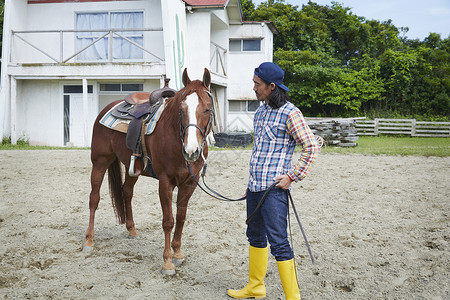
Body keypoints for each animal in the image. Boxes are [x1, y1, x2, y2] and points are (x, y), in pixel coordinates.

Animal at [83, 68, 214, 274]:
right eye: (181, 109)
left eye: (207, 109)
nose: (191, 150)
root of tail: (107, 108)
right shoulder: (165, 182)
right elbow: (168, 221)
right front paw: (167, 262)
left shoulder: (189, 183)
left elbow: (181, 217)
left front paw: (178, 254)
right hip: (100, 162)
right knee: (94, 198)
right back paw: (89, 241)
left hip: (132, 169)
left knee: (126, 192)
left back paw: (132, 230)